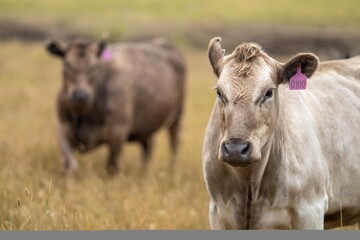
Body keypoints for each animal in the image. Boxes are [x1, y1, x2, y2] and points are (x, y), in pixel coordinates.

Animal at [45, 38, 186, 176]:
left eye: (95, 67)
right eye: (66, 64)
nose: (80, 95)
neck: (85, 114)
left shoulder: (118, 132)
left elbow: (112, 166)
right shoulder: (62, 130)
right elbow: (70, 165)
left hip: (177, 116)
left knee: (174, 143)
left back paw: (171, 169)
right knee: (148, 146)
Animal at [202, 37, 360, 229]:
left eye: (269, 92)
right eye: (219, 92)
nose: (235, 149)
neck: (249, 184)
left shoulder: (310, 211)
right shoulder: (218, 211)